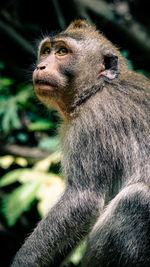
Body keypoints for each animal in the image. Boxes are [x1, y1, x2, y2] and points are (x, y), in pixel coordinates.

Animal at [11, 19, 150, 266]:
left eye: (62, 52)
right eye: (46, 51)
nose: (41, 67)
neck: (97, 88)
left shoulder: (93, 122)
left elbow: (82, 200)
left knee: (138, 199)